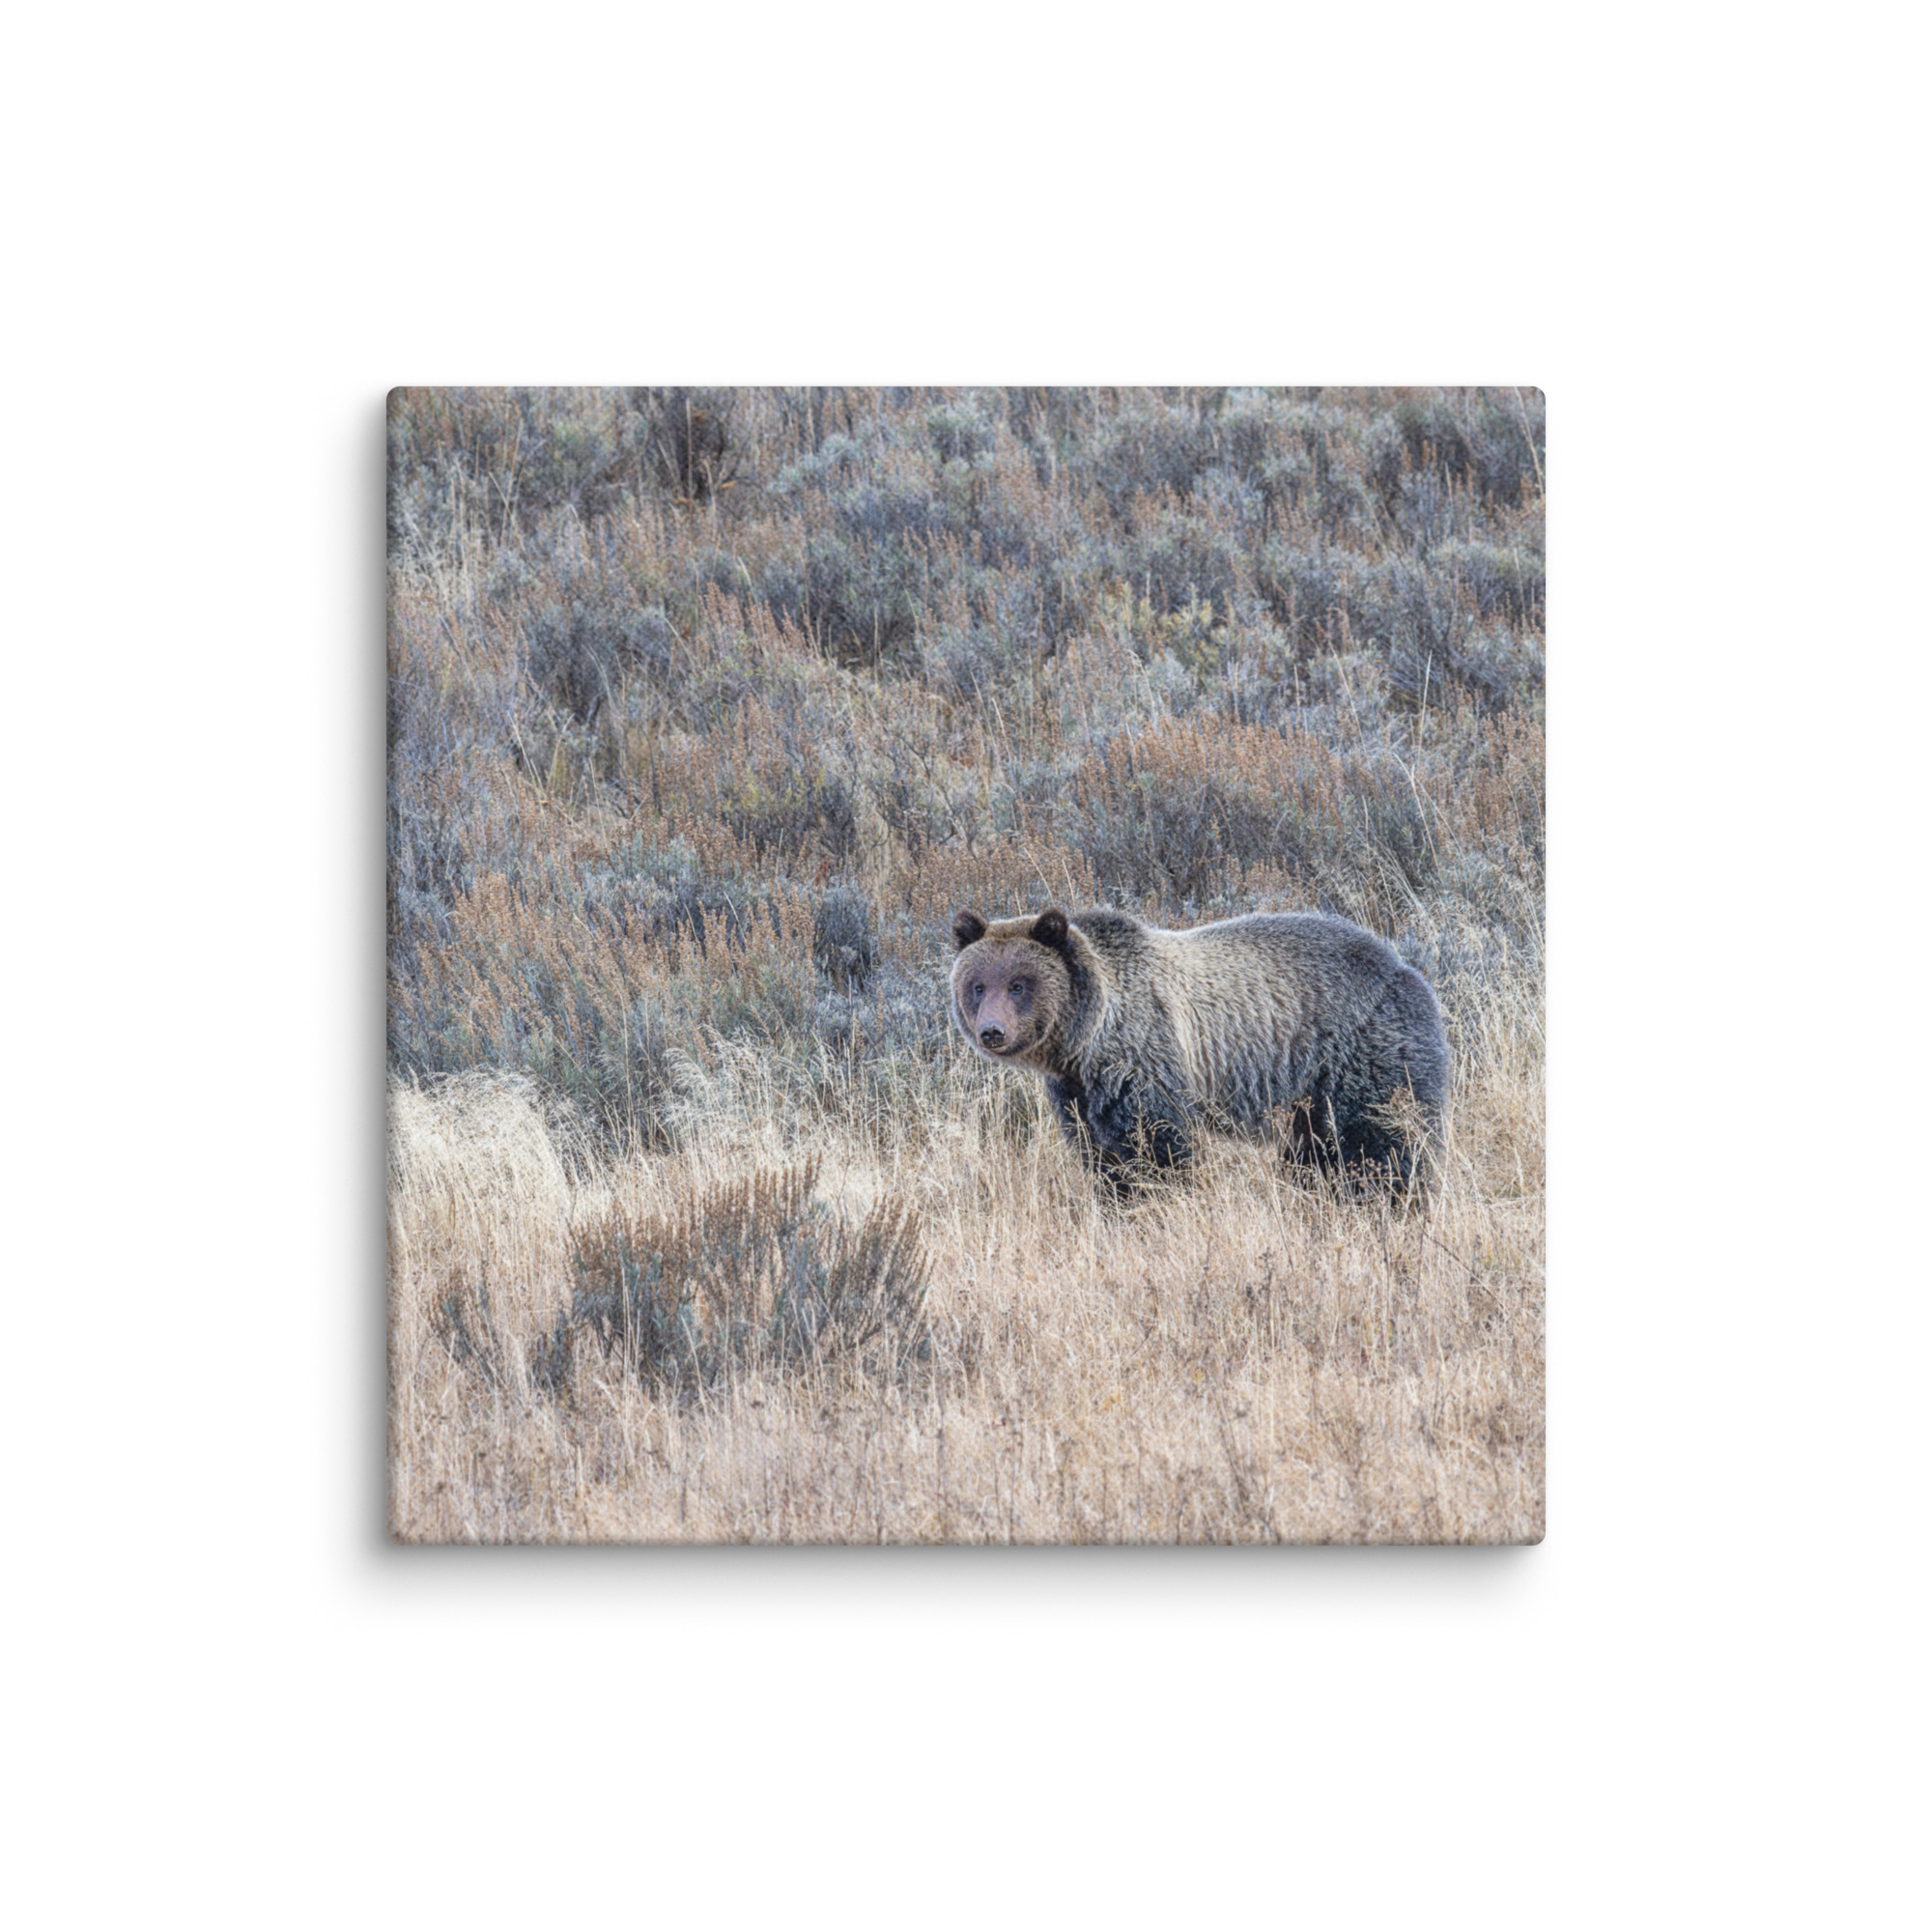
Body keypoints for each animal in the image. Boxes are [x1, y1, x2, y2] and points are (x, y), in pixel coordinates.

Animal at [949, 905, 1449, 1193]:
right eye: (978, 985)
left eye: (1019, 984)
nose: (992, 1032)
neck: (1085, 1041)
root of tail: (1405, 967)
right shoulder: (1077, 1093)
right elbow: (1100, 1155)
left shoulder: (1145, 1059)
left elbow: (1158, 1147)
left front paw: (1158, 1198)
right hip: (1308, 1096)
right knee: (1315, 1153)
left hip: (1363, 1052)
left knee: (1382, 1140)